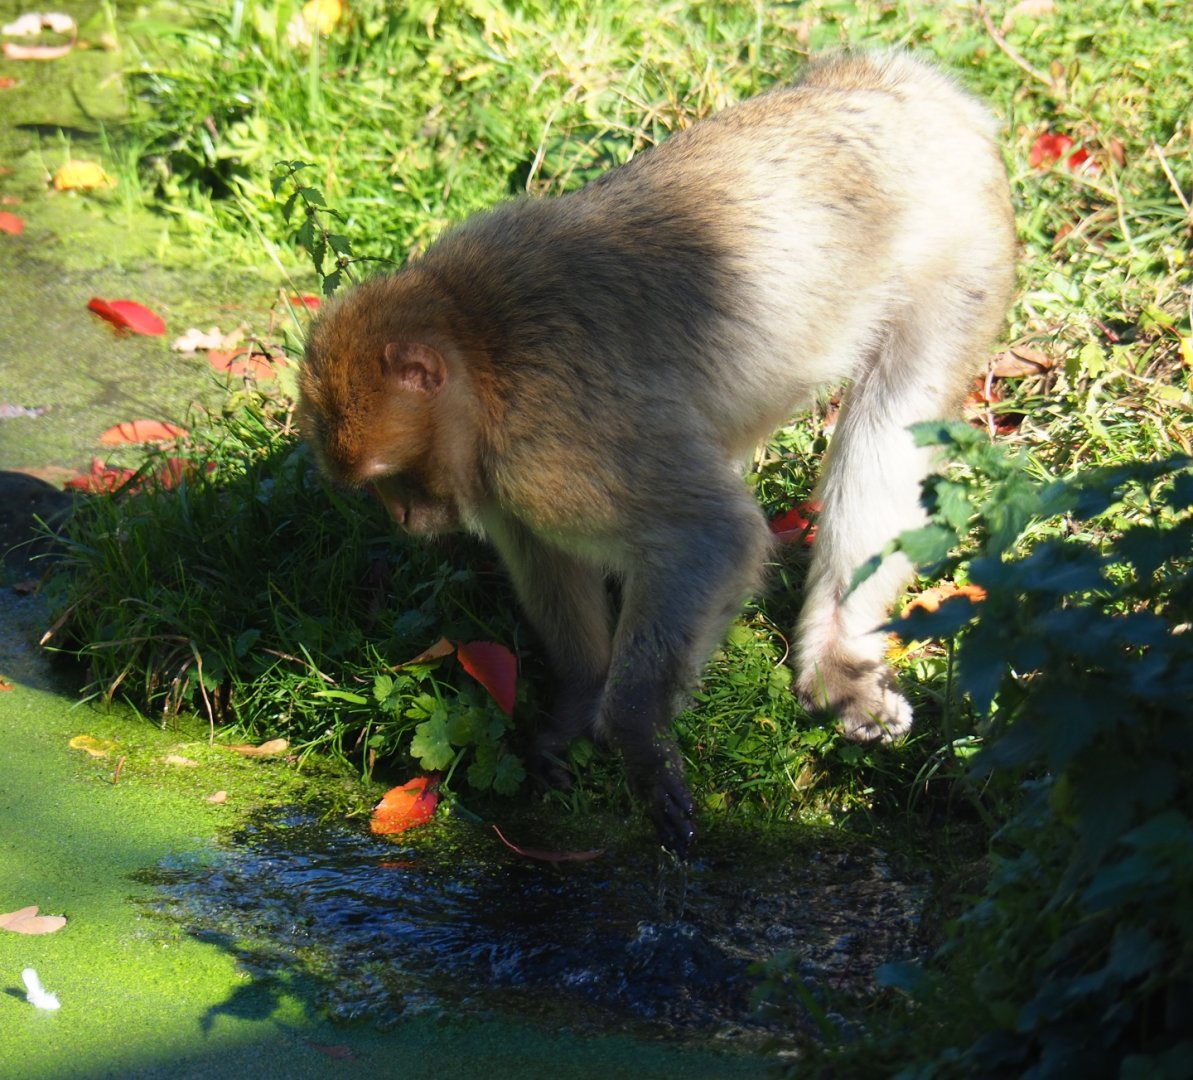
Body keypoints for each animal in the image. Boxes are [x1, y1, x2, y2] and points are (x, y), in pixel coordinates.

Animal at [298, 51, 1017, 856]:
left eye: (389, 479)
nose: (402, 518)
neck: (479, 352)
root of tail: (904, 84)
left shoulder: (551, 448)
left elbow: (708, 536)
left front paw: (638, 737)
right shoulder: (509, 482)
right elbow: (550, 559)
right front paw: (577, 702)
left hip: (959, 249)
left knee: (890, 420)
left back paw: (834, 651)